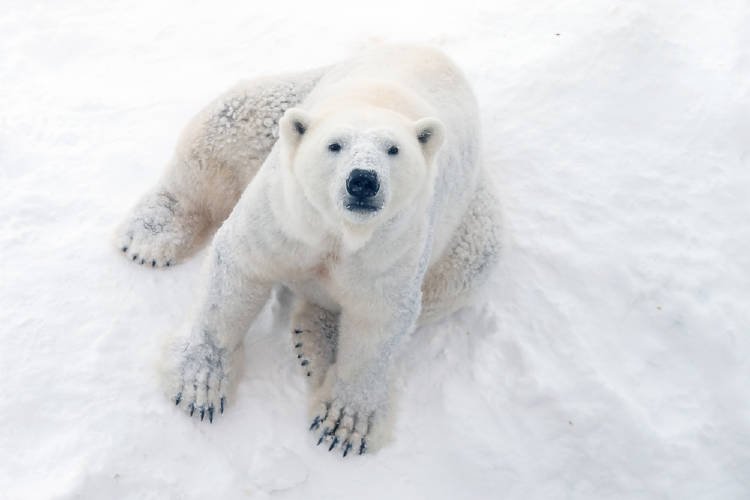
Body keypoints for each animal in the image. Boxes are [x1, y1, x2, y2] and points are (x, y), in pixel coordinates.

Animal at [116, 47, 500, 458]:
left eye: (394, 149)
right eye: (334, 145)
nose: (362, 181)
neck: (338, 231)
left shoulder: (393, 245)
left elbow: (380, 317)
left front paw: (345, 424)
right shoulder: (284, 210)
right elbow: (239, 268)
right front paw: (199, 387)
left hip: (466, 227)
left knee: (466, 270)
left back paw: (317, 342)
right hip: (286, 106)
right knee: (228, 126)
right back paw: (150, 236)